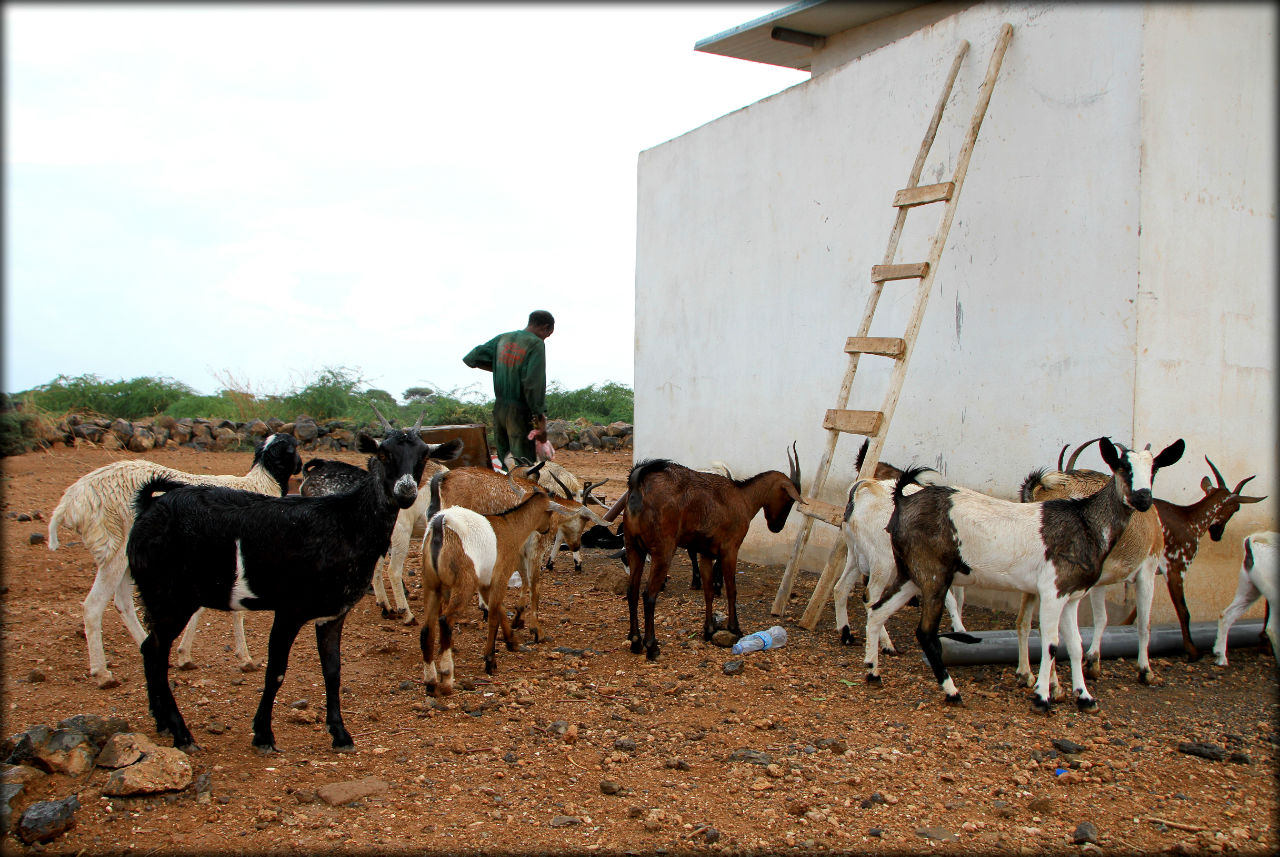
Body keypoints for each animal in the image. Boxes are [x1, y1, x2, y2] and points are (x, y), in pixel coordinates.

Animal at [47, 432, 302, 690]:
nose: (300, 467)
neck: (260, 483)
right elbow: (236, 612)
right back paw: (103, 673)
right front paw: (245, 659)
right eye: (294, 447)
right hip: (113, 549)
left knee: (123, 603)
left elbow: (200, 608)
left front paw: (184, 656)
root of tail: (70, 502)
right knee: (93, 606)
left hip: (126, 557)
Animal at [124, 409, 463, 752]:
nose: (405, 491)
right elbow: (276, 671)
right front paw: (263, 734)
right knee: (155, 651)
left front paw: (340, 733)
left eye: (423, 456)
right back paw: (181, 733)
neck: (345, 521)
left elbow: (333, 670)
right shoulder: (289, 610)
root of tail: (150, 505)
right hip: (169, 598)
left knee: (149, 650)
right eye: (383, 453)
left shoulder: (332, 614)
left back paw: (163, 722)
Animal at [619, 447, 798, 660]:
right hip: (663, 550)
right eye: (789, 499)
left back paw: (635, 641)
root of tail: (638, 484)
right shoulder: (730, 549)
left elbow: (709, 591)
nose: (777, 527)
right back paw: (652, 646)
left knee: (632, 590)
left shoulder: (706, 554)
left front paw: (709, 630)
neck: (743, 497)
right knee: (649, 595)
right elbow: (732, 589)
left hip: (633, 547)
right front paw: (734, 628)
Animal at [885, 440, 1182, 716]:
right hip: (933, 575)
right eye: (1123, 467)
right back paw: (952, 691)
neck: (1085, 522)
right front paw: (1043, 696)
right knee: (925, 633)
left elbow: (1075, 645)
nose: (1143, 498)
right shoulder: (1053, 591)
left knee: (878, 609)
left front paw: (1084, 697)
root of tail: (903, 499)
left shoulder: (1071, 596)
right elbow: (1051, 644)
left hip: (910, 573)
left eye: (1154, 469)